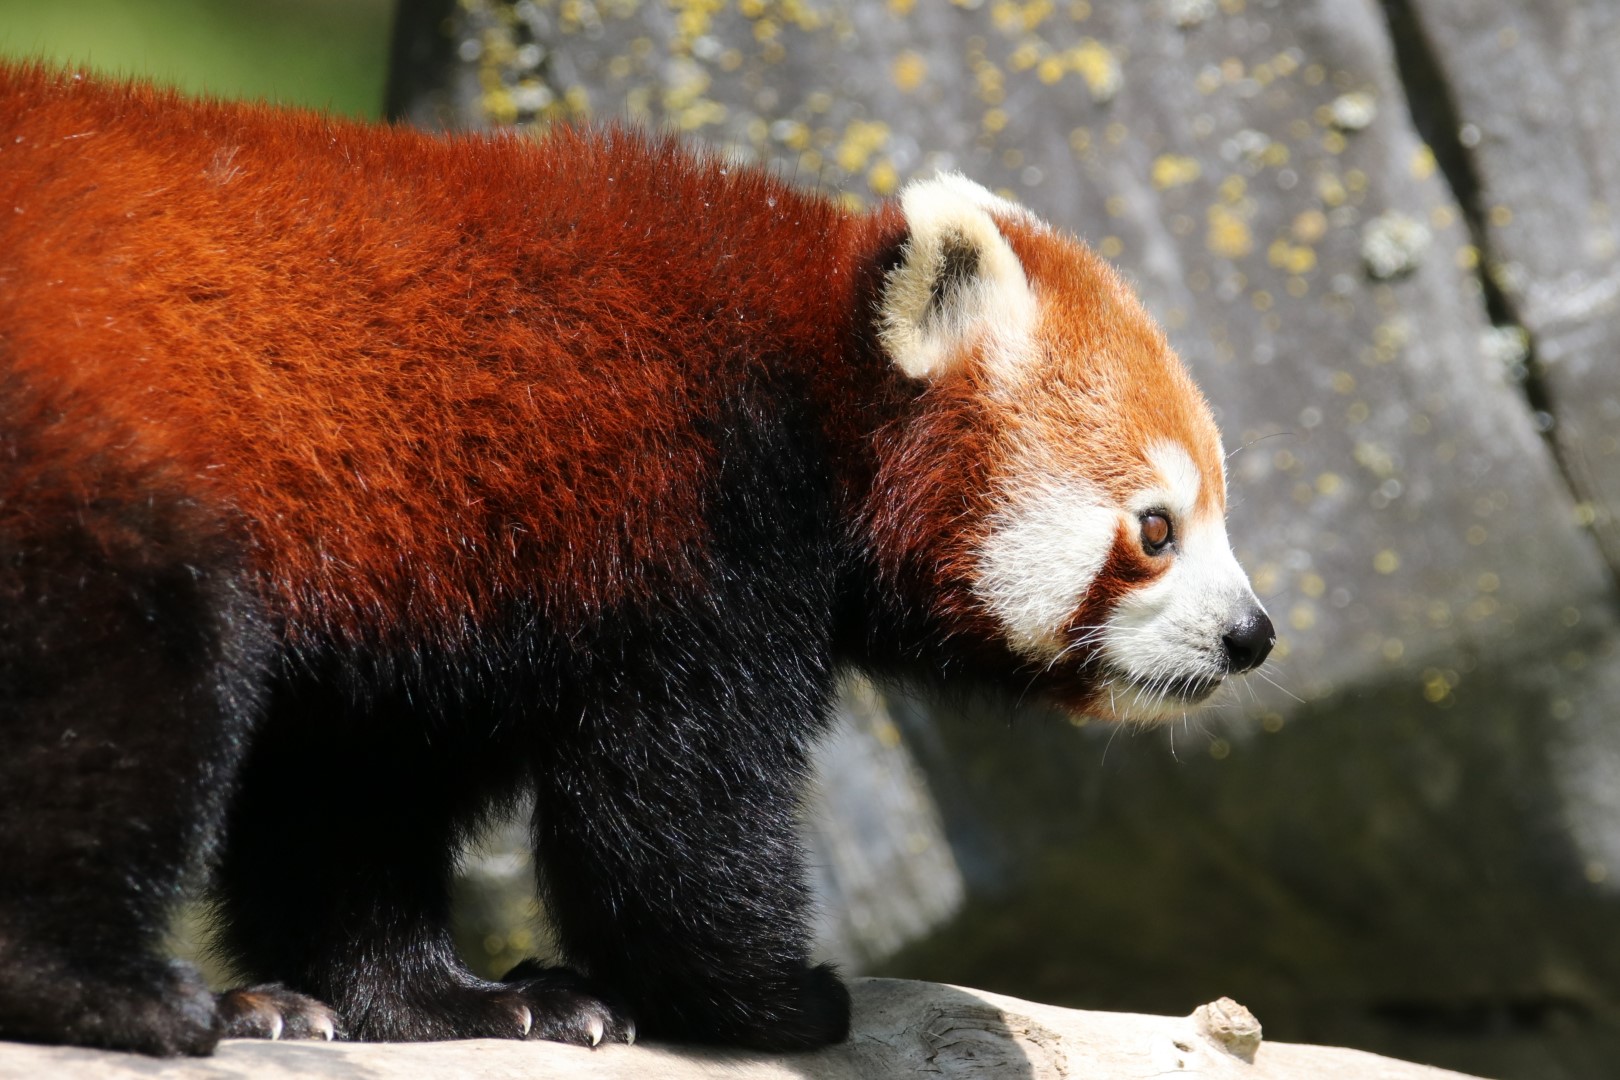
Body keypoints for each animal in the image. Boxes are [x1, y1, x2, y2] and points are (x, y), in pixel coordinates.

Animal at [0, 64, 1273, 1057]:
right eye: (1158, 528)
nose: (1252, 635)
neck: (814, 388)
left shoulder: (419, 602)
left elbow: (347, 808)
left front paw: (441, 1001)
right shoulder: (691, 535)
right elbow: (670, 814)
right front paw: (771, 999)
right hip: (92, 445)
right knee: (127, 685)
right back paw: (116, 991)